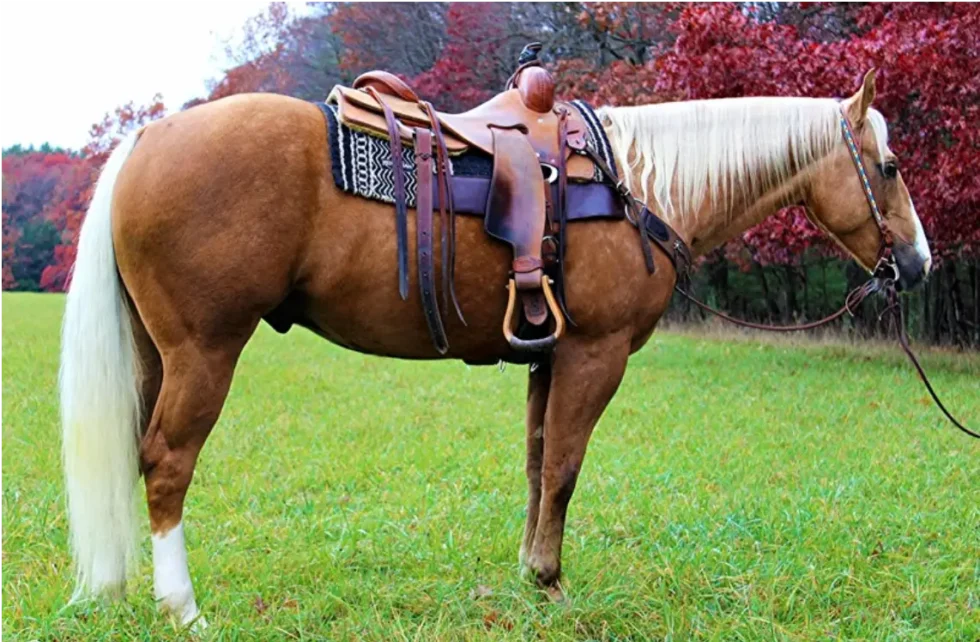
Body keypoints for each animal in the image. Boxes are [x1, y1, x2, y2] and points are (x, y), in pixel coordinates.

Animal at [59, 69, 930, 626]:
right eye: (888, 166)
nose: (918, 265)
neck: (637, 186)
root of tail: (149, 137)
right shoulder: (594, 356)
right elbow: (567, 469)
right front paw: (551, 583)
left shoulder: (549, 357)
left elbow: (540, 464)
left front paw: (528, 578)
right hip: (205, 350)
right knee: (168, 462)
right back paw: (182, 607)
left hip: (156, 353)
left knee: (135, 454)